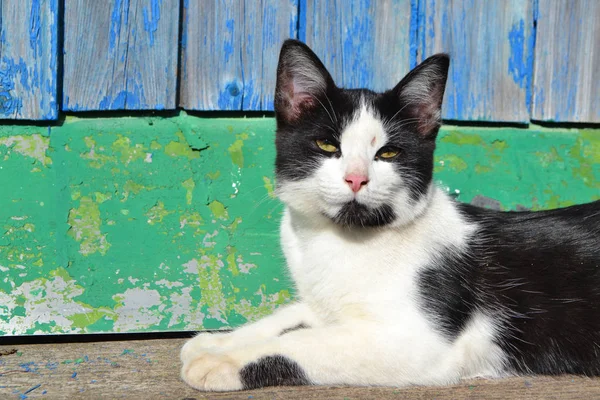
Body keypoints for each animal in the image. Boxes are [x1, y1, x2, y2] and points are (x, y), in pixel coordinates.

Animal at [180, 38, 600, 390]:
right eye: (327, 145)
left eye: (388, 153)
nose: (356, 178)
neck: (342, 241)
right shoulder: (324, 303)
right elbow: (294, 315)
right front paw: (217, 342)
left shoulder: (422, 342)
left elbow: (307, 340)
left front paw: (224, 361)